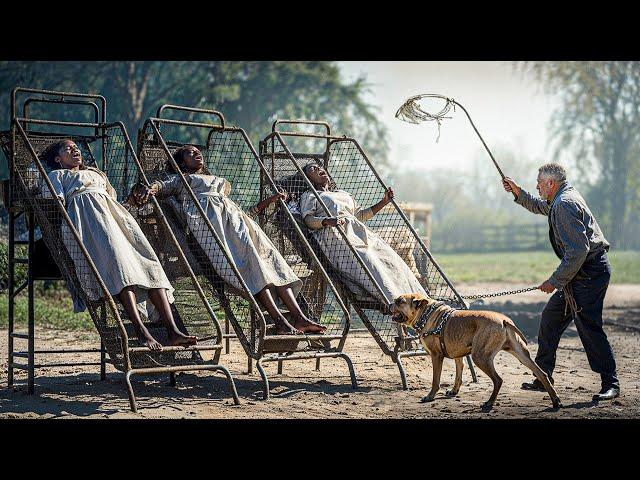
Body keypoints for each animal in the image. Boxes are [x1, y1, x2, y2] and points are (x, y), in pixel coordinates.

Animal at [390, 292, 560, 408]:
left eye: (400, 301)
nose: (390, 304)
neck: (427, 313)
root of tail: (504, 320)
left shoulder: (436, 356)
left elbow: (435, 381)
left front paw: (430, 396)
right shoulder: (458, 356)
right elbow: (458, 374)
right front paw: (454, 391)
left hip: (480, 357)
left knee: (498, 380)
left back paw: (489, 403)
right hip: (521, 354)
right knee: (542, 374)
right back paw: (556, 401)